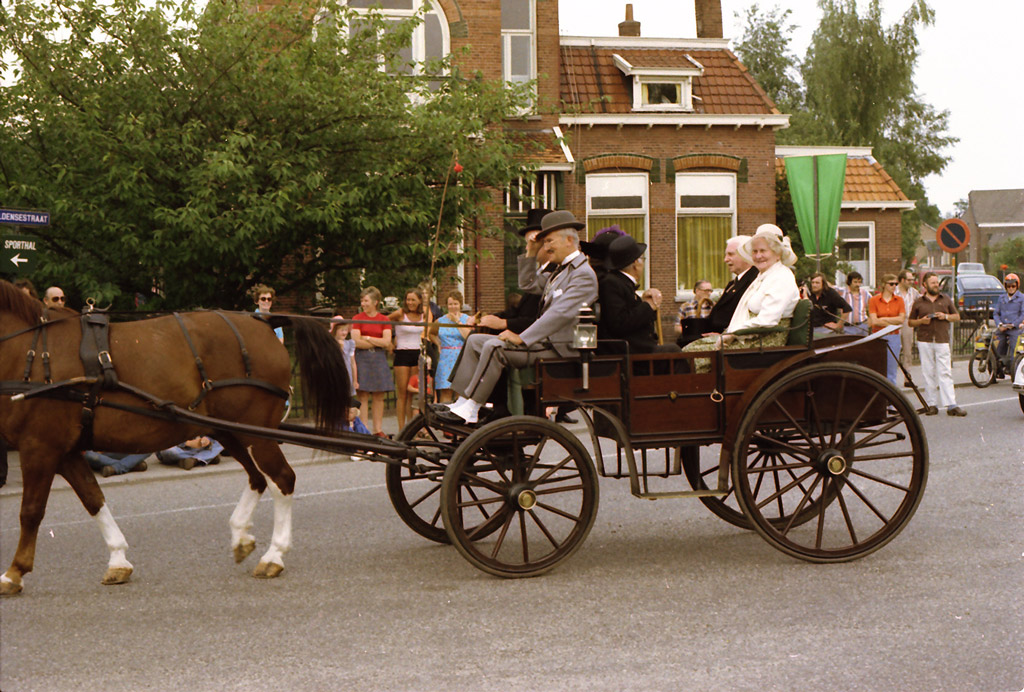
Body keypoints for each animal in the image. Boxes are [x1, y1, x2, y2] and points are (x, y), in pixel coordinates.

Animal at [0, 280, 350, 593]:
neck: (31, 353)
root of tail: (264, 323)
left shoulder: (40, 447)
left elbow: (30, 511)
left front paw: (14, 572)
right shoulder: (66, 451)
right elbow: (93, 499)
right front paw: (118, 560)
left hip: (254, 431)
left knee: (282, 479)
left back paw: (274, 555)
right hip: (230, 430)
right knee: (258, 478)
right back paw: (240, 535)